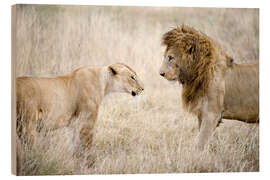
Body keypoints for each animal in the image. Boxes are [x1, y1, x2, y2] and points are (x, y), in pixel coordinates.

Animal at [16, 62, 144, 157]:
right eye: (132, 77)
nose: (142, 89)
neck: (104, 83)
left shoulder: (75, 124)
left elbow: (75, 147)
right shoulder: (87, 122)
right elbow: (86, 146)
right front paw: (90, 166)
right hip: (27, 125)